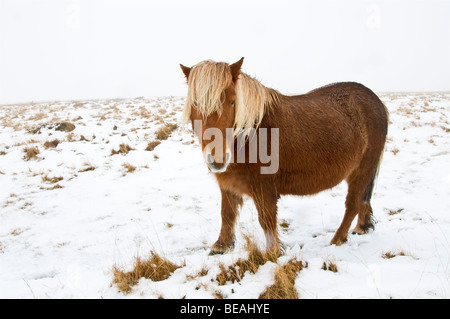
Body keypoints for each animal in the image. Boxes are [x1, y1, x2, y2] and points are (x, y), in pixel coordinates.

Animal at [179, 58, 386, 256]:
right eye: (196, 104)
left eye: (232, 101)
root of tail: (375, 100)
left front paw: (272, 252)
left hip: (363, 169)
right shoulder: (228, 183)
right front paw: (221, 247)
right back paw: (361, 228)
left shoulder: (264, 188)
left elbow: (266, 220)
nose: (218, 159)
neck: (251, 134)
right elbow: (227, 213)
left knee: (353, 204)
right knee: (363, 199)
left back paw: (337, 239)